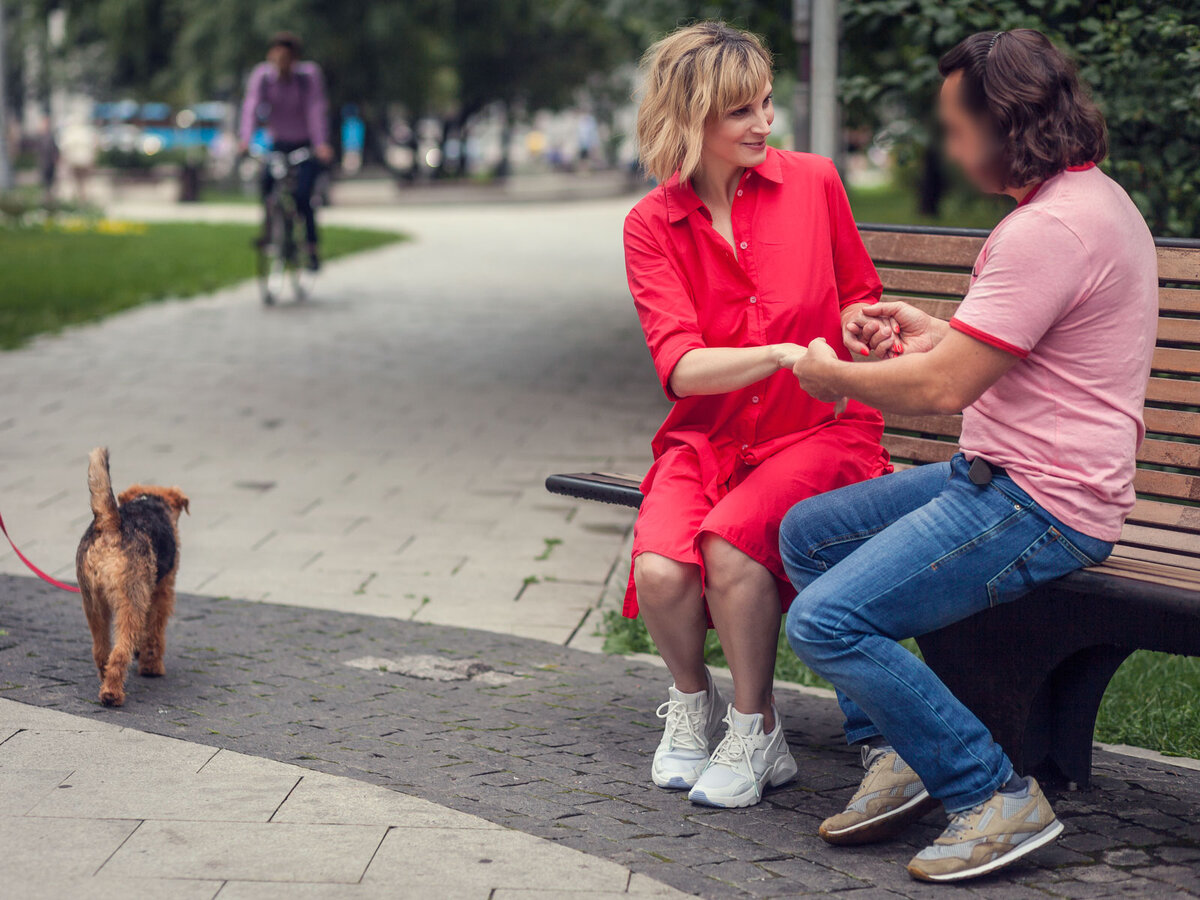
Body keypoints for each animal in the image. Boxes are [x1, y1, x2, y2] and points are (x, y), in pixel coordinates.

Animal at [75, 448, 188, 710]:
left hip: (93, 603)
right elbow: (154, 631)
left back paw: (105, 681)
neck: (150, 502)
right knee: (120, 651)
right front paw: (151, 665)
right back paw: (112, 694)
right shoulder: (162, 592)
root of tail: (109, 524)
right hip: (131, 602)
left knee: (102, 650)